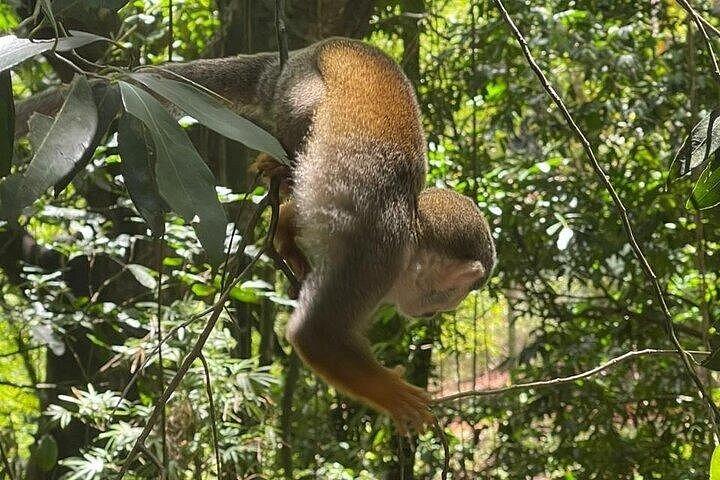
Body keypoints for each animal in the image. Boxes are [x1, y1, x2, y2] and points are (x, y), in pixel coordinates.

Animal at [17, 38, 497, 430]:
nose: (433, 315)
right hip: (296, 87)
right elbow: (316, 333)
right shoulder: (375, 256)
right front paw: (396, 396)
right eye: (451, 295)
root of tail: (303, 52)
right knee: (305, 116)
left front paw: (287, 237)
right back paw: (279, 166)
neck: (411, 230)